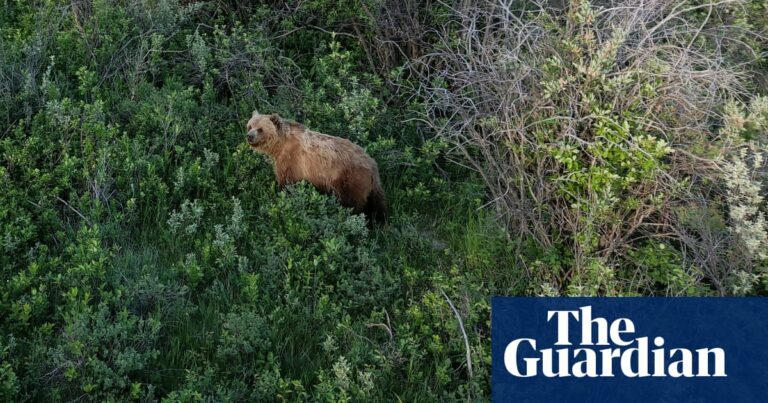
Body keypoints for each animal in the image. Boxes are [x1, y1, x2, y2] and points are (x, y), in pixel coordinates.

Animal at [246, 111, 387, 223]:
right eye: (250, 126)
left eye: (260, 129)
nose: (249, 136)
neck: (279, 146)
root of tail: (372, 165)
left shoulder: (291, 160)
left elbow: (287, 183)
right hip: (372, 186)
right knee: (379, 204)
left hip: (351, 179)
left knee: (354, 204)